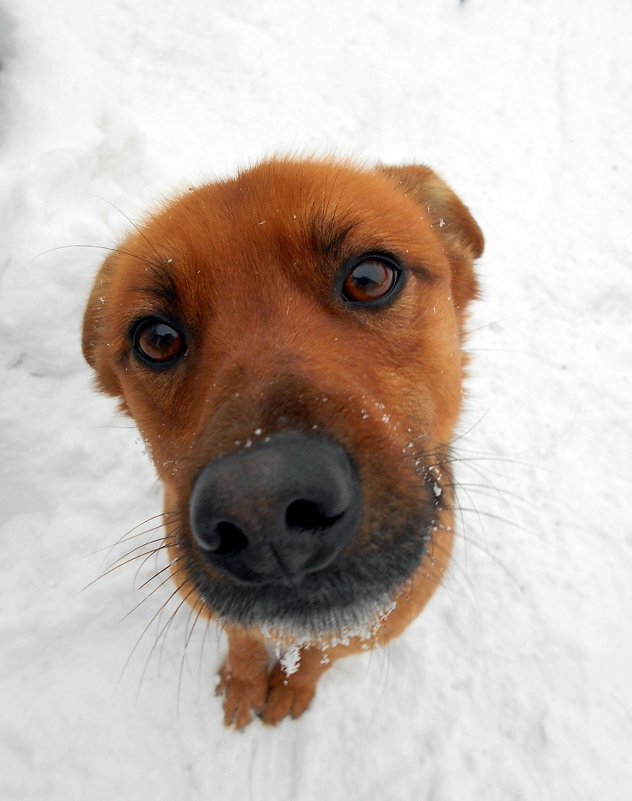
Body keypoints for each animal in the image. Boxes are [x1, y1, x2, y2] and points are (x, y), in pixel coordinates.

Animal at [82, 156, 484, 724]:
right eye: (156, 340)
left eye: (369, 278)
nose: (261, 506)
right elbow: (245, 641)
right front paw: (245, 683)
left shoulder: (374, 624)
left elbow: (319, 655)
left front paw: (292, 689)